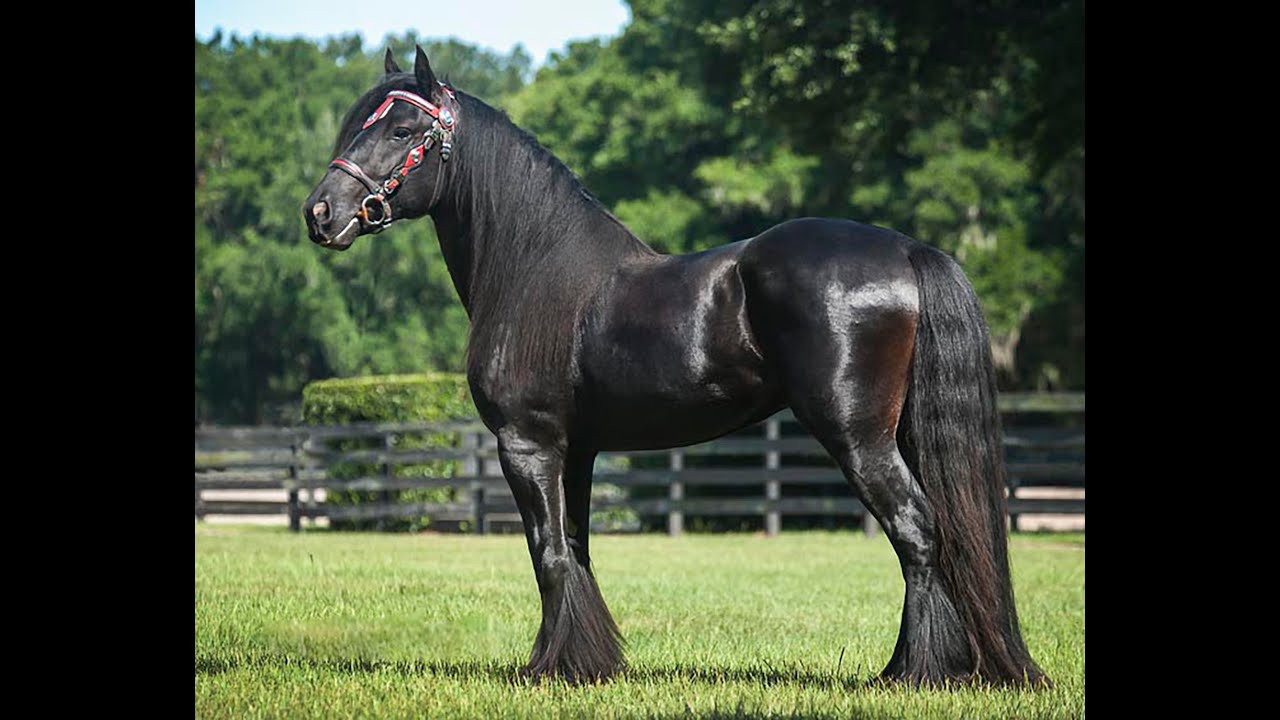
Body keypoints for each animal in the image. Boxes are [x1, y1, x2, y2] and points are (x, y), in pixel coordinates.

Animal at [303, 45, 1046, 688]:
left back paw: (914, 673)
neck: (534, 269)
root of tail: (906, 250)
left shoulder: (527, 444)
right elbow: (577, 549)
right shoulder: (578, 451)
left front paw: (551, 669)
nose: (321, 213)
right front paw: (593, 663)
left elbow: (548, 553)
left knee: (916, 532)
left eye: (402, 129)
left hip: (859, 438)